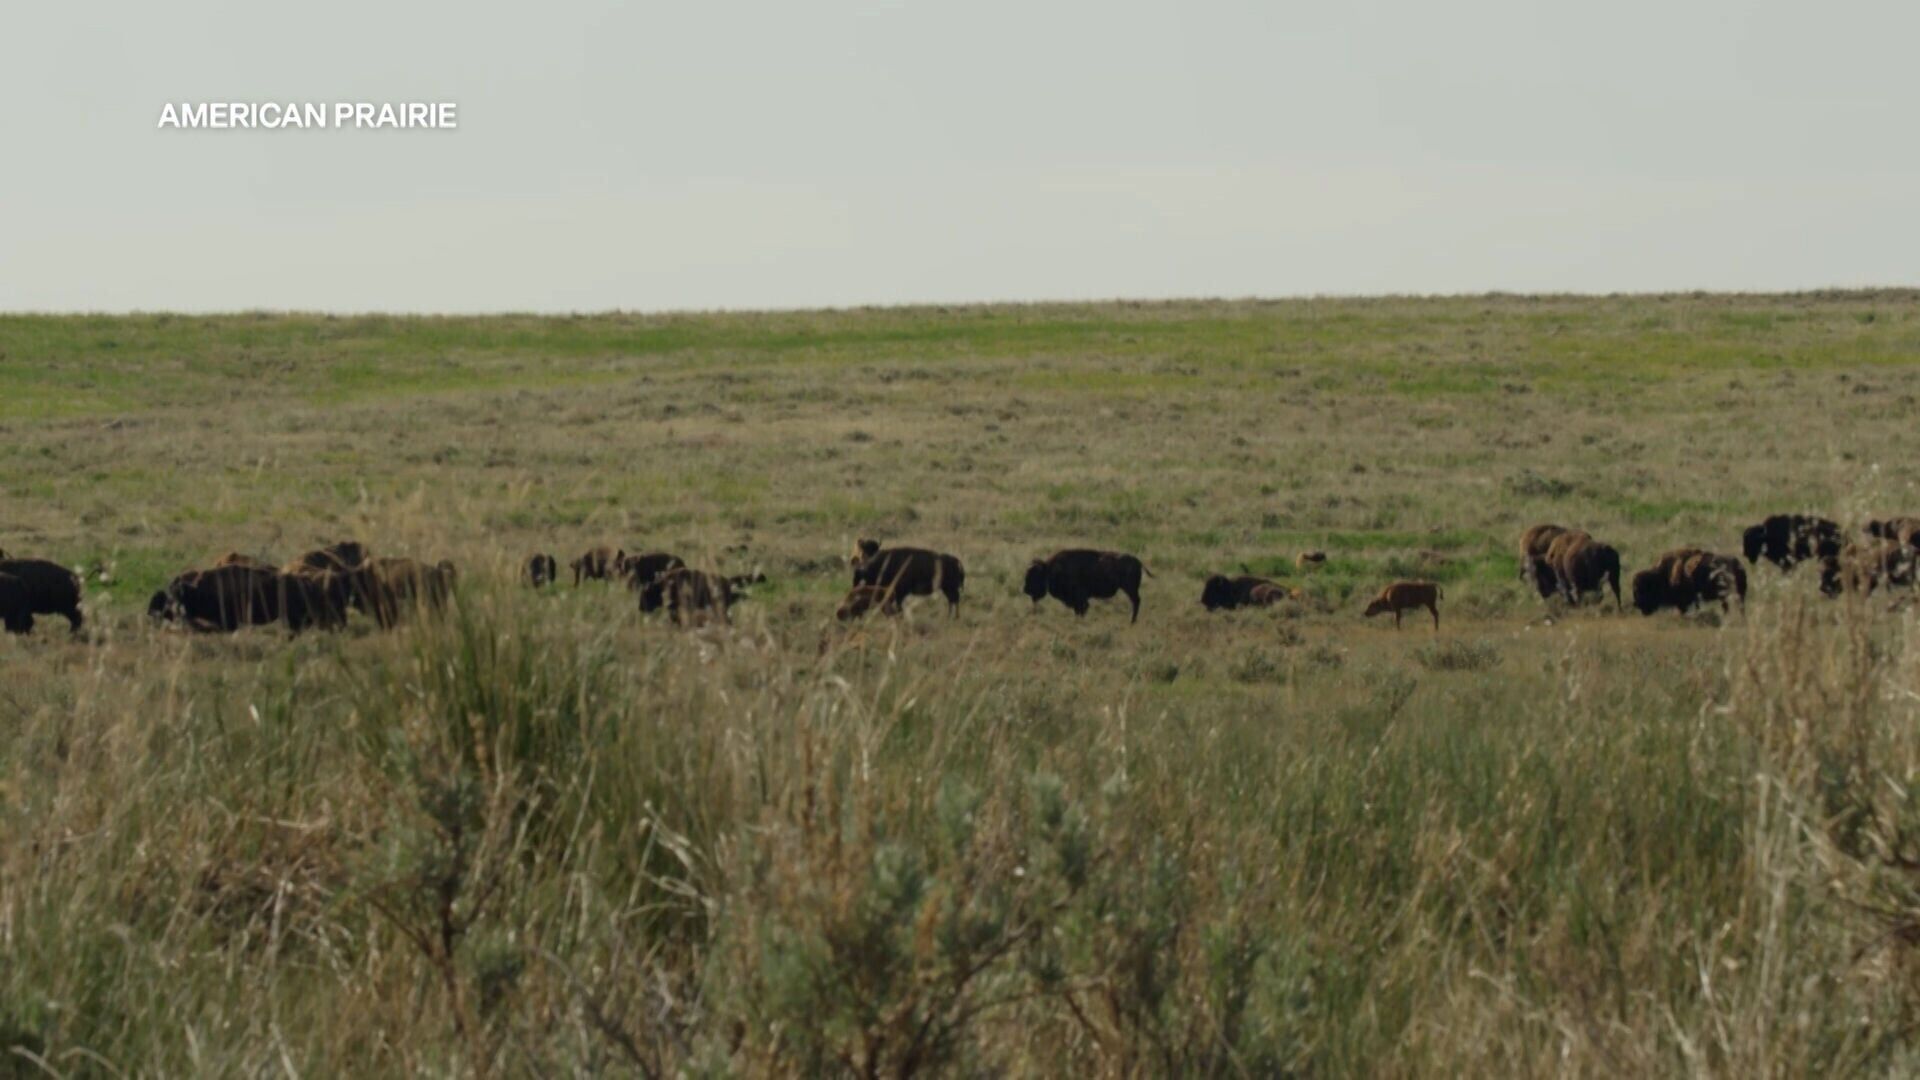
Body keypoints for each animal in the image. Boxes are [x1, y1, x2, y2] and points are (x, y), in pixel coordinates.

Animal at [1023, 549, 1152, 623]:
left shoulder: (1079, 599)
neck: (1049, 569)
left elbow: (1081, 609)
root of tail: (1138, 561)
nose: (1025, 590)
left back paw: (1132, 621)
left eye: (1034, 576)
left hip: (1130, 589)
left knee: (1136, 601)